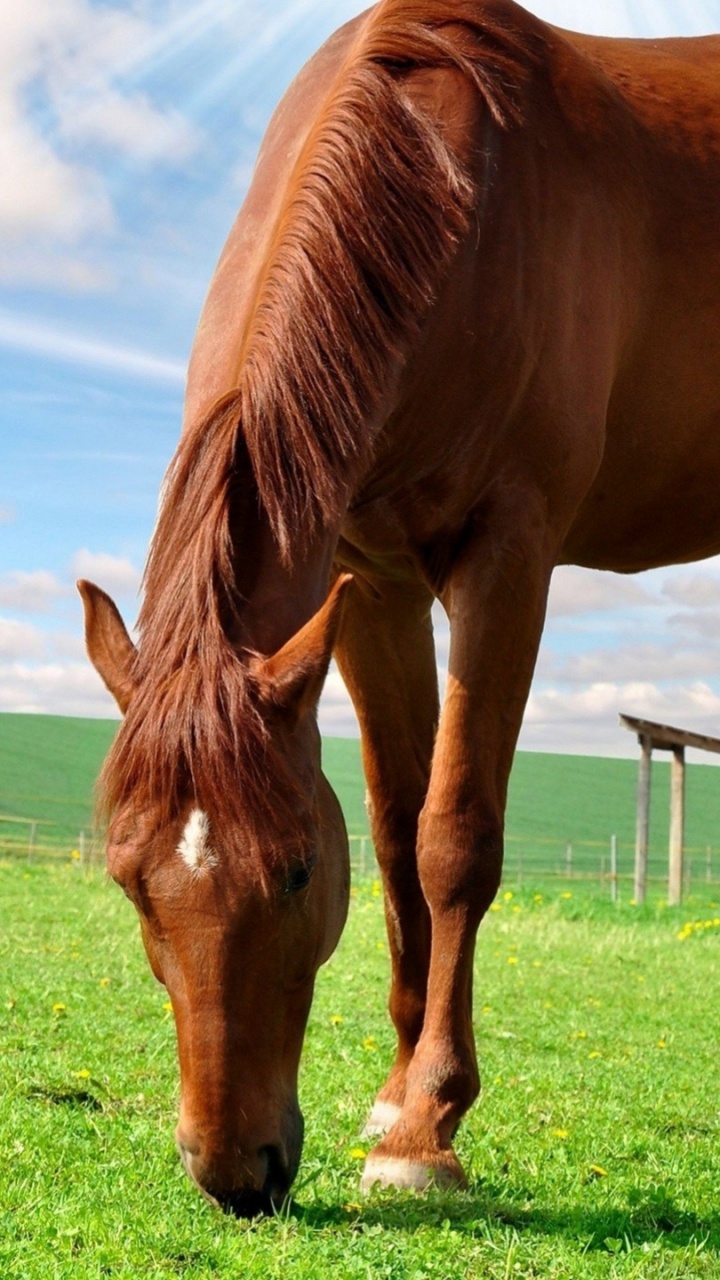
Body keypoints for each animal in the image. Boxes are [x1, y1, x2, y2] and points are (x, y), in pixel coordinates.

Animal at [78, 0, 717, 1213]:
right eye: (129, 882)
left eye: (292, 868)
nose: (234, 1174)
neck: (461, 195)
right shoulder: (371, 580)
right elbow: (393, 826)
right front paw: (395, 1093)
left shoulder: (508, 553)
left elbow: (452, 836)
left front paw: (426, 1129)